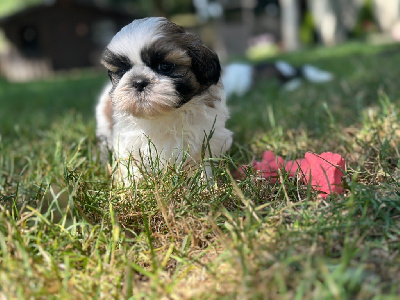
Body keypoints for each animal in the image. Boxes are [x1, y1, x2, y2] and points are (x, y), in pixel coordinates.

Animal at [96, 17, 231, 182]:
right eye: (122, 71)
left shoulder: (208, 137)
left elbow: (202, 161)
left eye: (165, 66)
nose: (139, 82)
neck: (163, 115)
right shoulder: (126, 141)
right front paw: (132, 184)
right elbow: (131, 163)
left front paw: (203, 183)